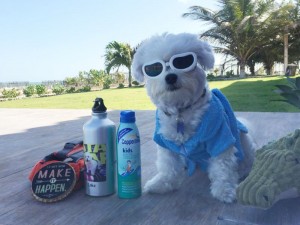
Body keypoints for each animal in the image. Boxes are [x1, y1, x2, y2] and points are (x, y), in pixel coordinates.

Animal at [131, 32, 255, 203]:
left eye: (183, 61)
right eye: (154, 68)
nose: (170, 77)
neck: (181, 112)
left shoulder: (220, 138)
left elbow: (223, 166)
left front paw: (225, 190)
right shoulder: (165, 142)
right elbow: (168, 166)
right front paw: (162, 183)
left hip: (242, 139)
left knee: (246, 157)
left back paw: (243, 169)